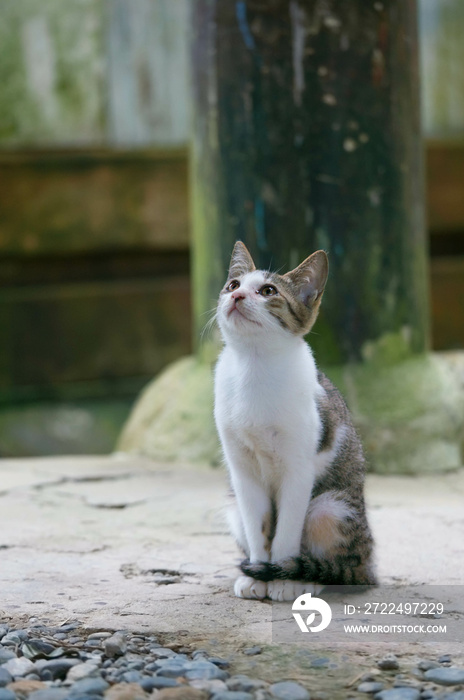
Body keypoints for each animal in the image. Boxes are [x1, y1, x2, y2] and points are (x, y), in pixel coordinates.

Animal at [214, 242, 376, 600]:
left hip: (331, 508)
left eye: (268, 291)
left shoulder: (298, 469)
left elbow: (287, 529)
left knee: (343, 570)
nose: (236, 296)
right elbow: (259, 525)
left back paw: (305, 576)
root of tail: (370, 566)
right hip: (231, 508)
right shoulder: (242, 472)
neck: (254, 366)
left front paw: (282, 578)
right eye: (233, 285)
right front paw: (258, 573)